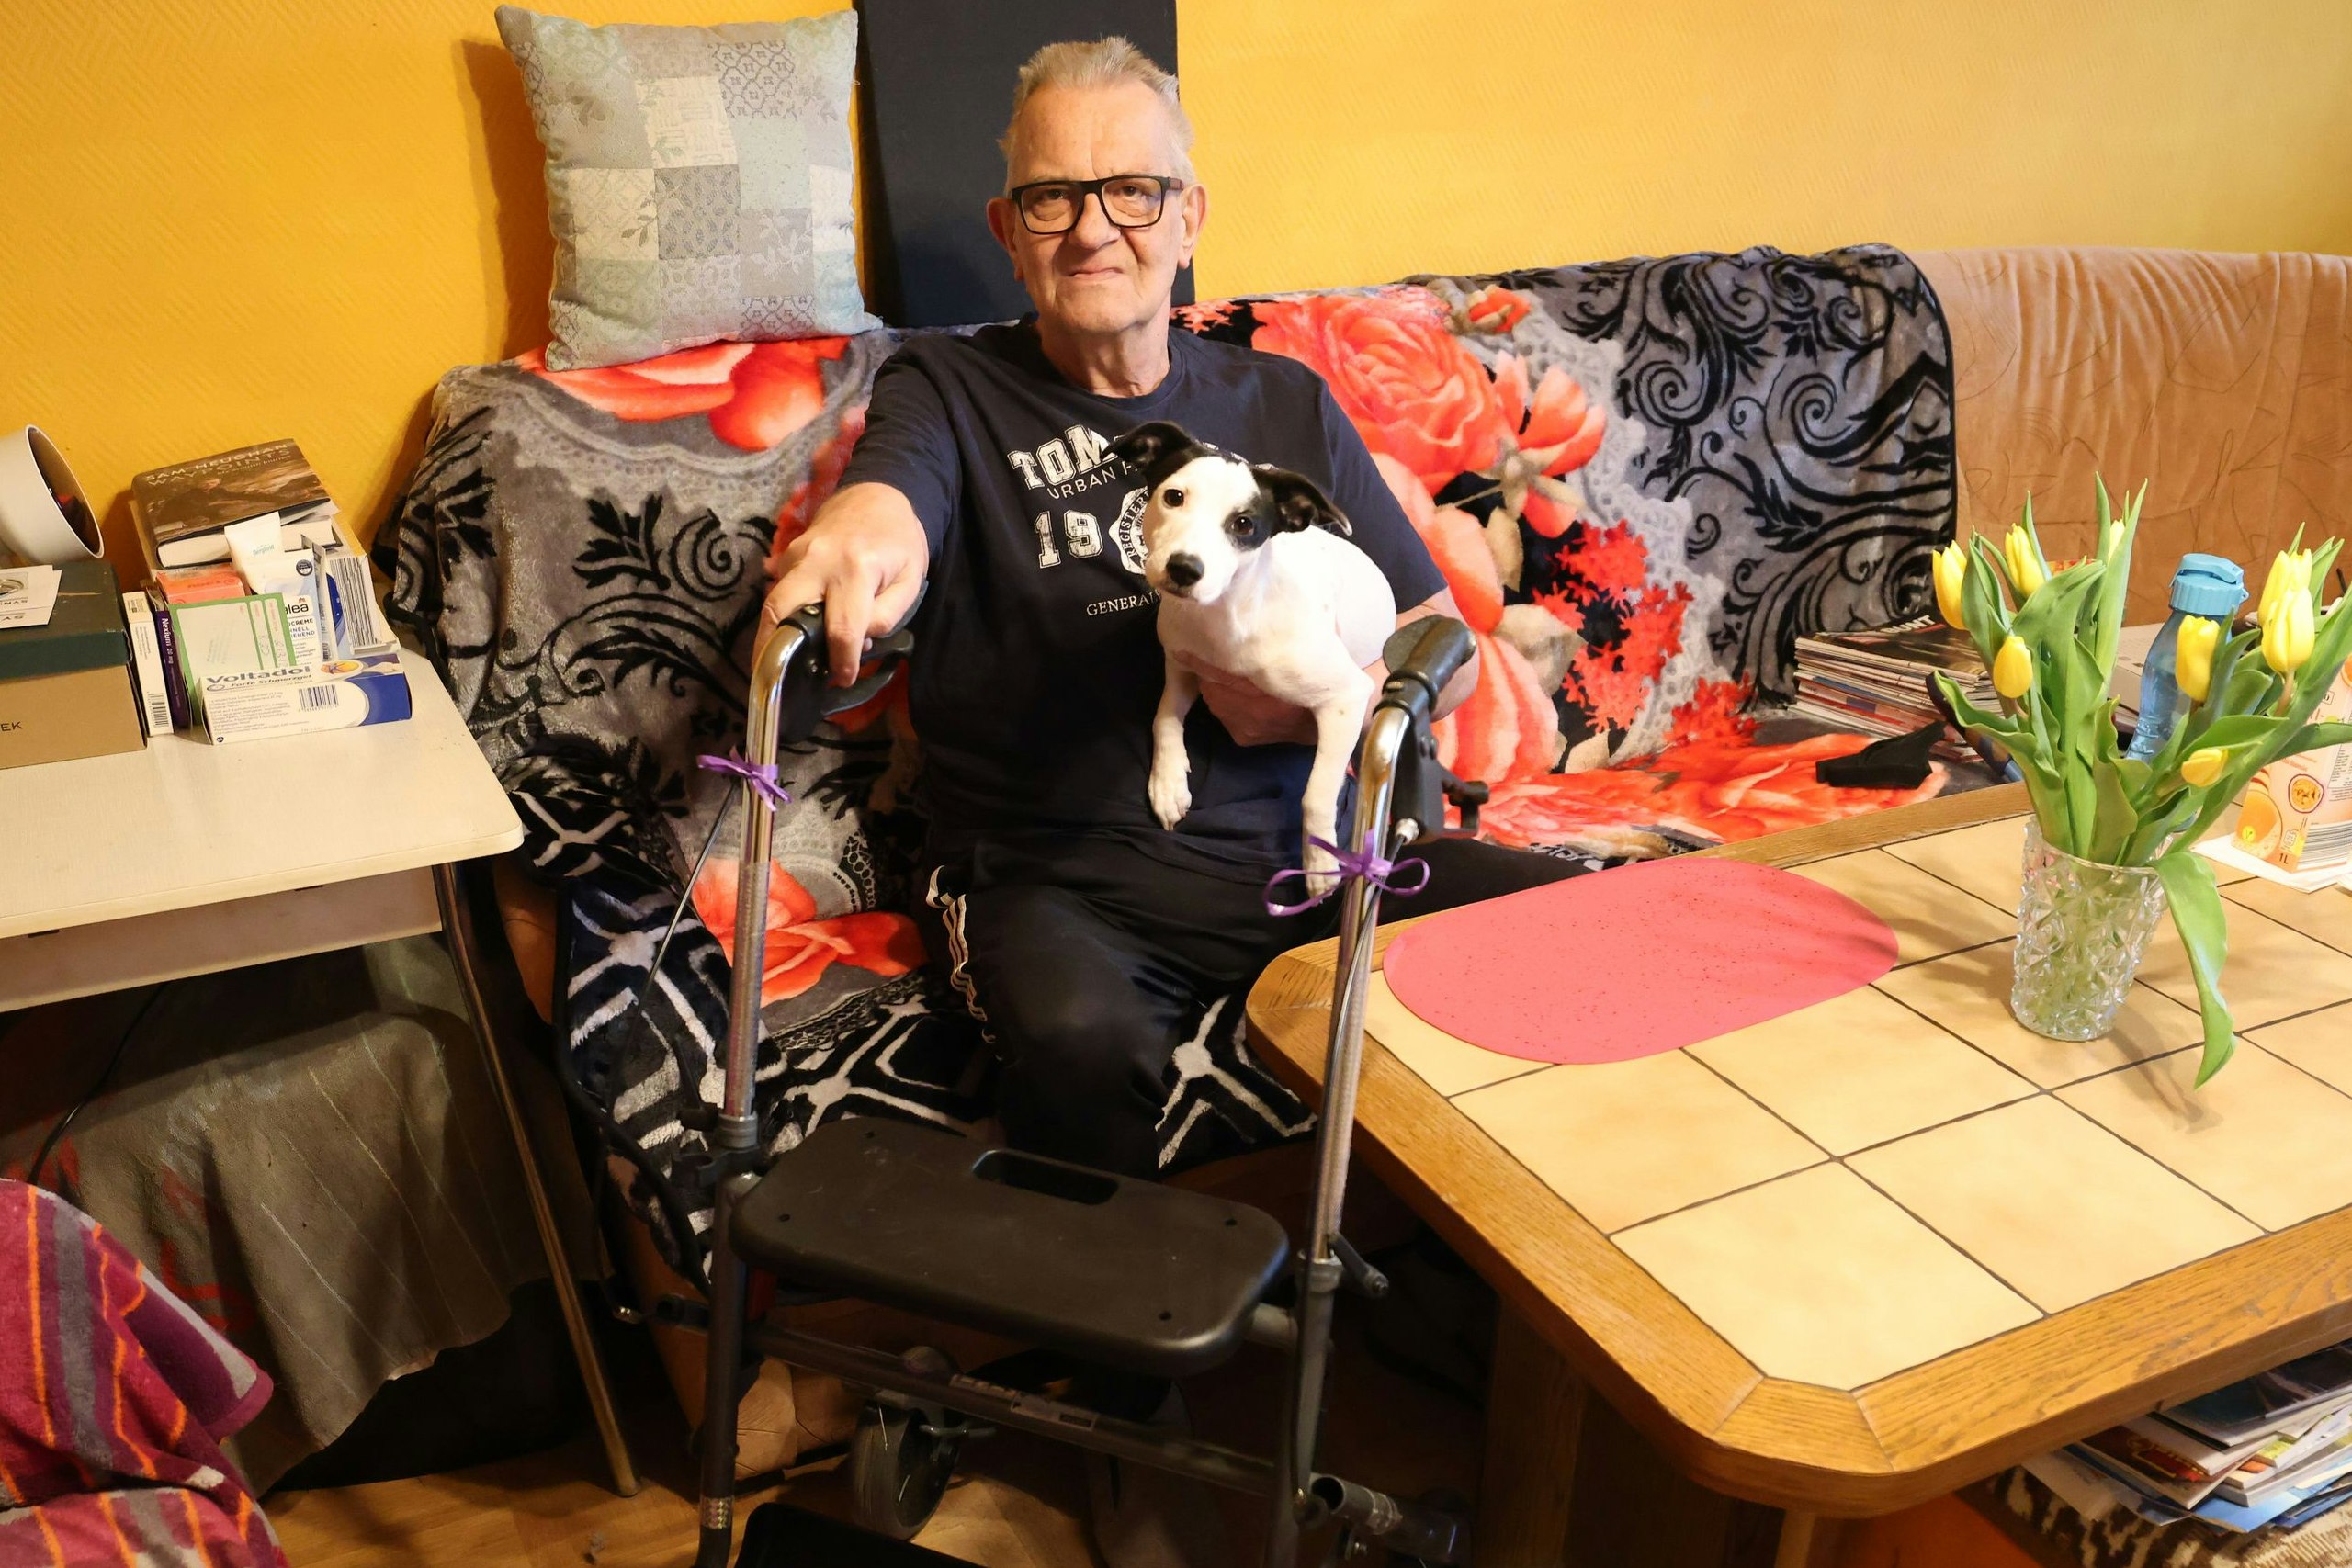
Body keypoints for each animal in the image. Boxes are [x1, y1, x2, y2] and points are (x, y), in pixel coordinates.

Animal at [1107, 420, 1398, 893]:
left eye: (1244, 524)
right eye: (1174, 496)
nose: (1184, 569)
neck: (1226, 613)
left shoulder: (1347, 698)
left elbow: (1316, 792)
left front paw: (1319, 861)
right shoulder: (1181, 663)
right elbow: (1164, 716)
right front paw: (1168, 782)